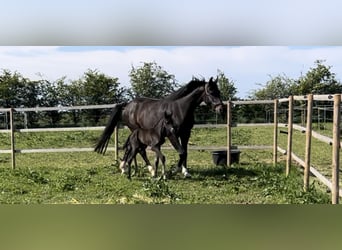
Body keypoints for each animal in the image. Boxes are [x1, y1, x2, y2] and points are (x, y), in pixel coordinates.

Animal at [95, 77, 223, 178]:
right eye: (210, 91)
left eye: (218, 91)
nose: (220, 108)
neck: (180, 109)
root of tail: (127, 105)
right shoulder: (172, 134)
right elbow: (181, 152)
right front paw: (173, 171)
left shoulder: (186, 133)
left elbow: (185, 152)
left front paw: (186, 172)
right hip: (135, 130)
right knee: (140, 150)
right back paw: (150, 170)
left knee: (131, 148)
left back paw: (125, 168)